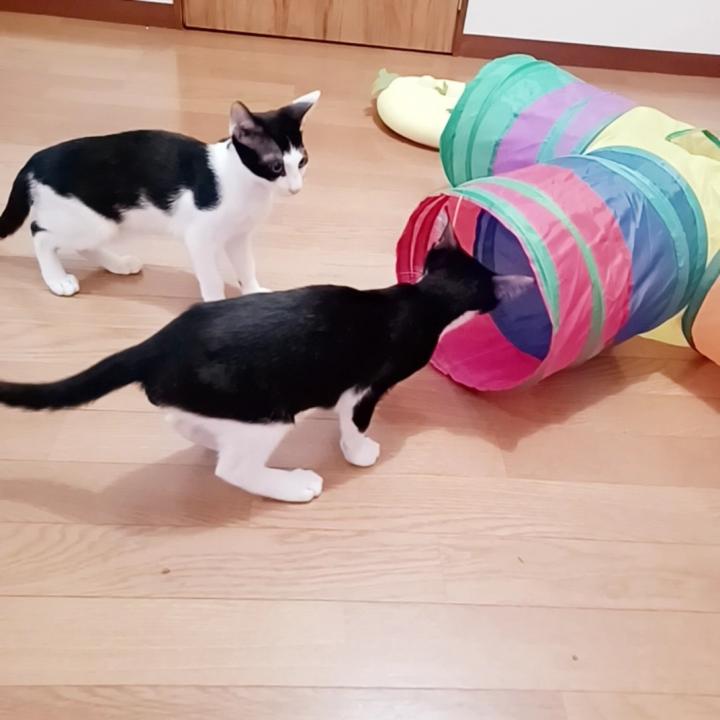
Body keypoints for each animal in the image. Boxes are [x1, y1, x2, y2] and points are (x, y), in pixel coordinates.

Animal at [0, 91, 320, 300]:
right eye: (276, 166)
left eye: (302, 162)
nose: (296, 188)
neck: (244, 182)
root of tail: (36, 159)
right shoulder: (199, 237)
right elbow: (212, 279)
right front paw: (215, 305)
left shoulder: (238, 236)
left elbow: (246, 264)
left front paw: (252, 292)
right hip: (87, 220)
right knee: (40, 233)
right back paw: (57, 279)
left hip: (102, 223)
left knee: (80, 244)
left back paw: (118, 264)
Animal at [0, 212, 533, 503]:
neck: (421, 300)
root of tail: (159, 343)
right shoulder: (366, 385)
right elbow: (353, 420)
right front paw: (359, 451)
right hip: (266, 411)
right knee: (233, 469)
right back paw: (291, 485)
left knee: (183, 423)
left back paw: (210, 439)